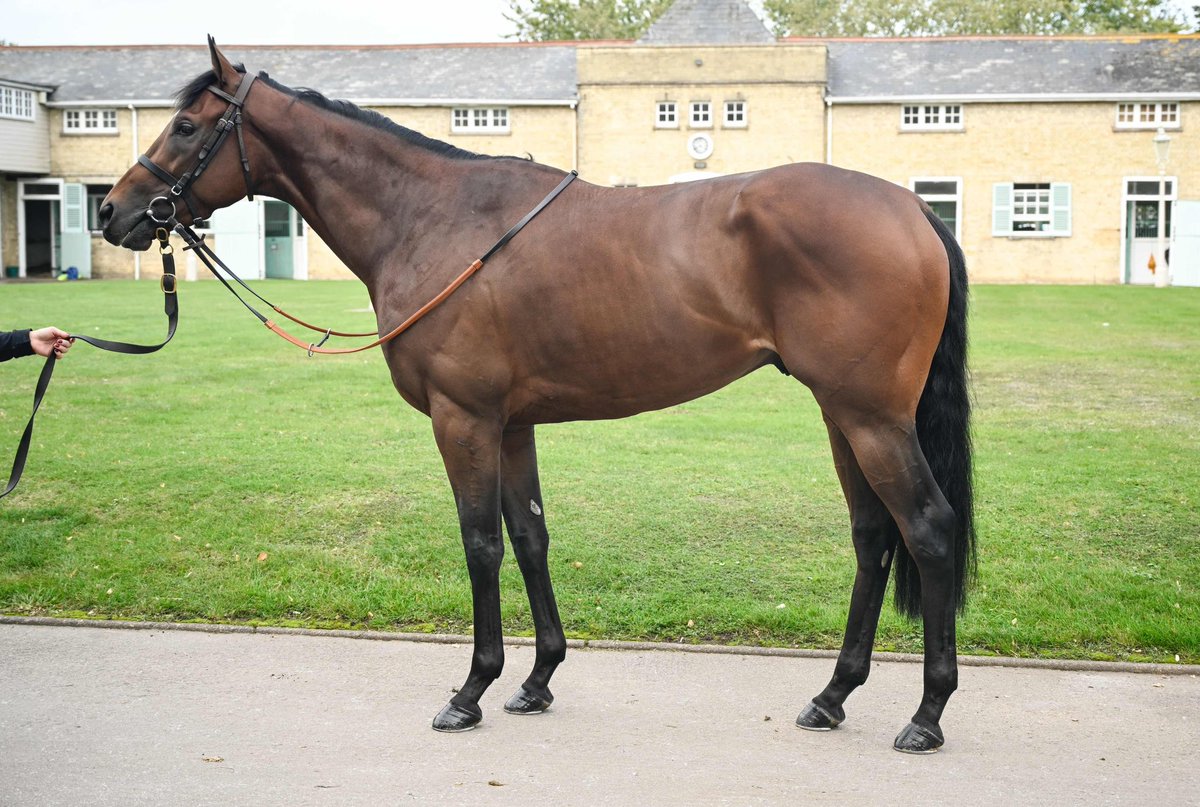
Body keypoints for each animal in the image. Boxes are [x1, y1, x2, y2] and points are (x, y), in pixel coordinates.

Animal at [98, 40, 969, 754]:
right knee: (872, 535)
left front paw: (471, 689)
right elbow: (530, 537)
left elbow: (480, 542)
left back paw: (927, 714)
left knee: (927, 529)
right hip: (842, 415)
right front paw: (537, 678)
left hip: (870, 417)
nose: (114, 209)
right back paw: (832, 695)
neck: (435, 218)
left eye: (185, 126)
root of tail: (913, 208)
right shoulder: (513, 426)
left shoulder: (464, 419)